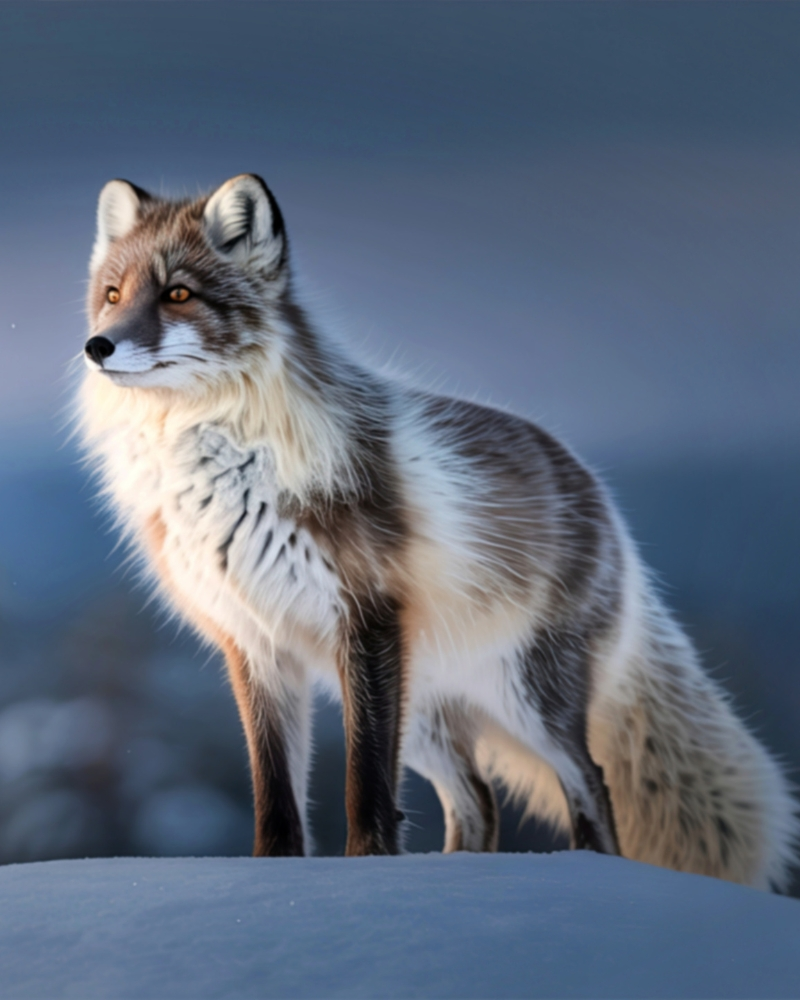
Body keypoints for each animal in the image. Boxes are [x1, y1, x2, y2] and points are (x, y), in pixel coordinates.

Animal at [79, 173, 798, 889]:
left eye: (178, 294)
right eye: (112, 296)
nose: (97, 346)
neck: (225, 470)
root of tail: (592, 484)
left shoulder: (366, 619)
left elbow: (366, 784)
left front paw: (368, 873)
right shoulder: (256, 643)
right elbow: (275, 792)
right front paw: (275, 877)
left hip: (522, 694)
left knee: (589, 779)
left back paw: (590, 872)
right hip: (424, 707)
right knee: (478, 798)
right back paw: (457, 874)